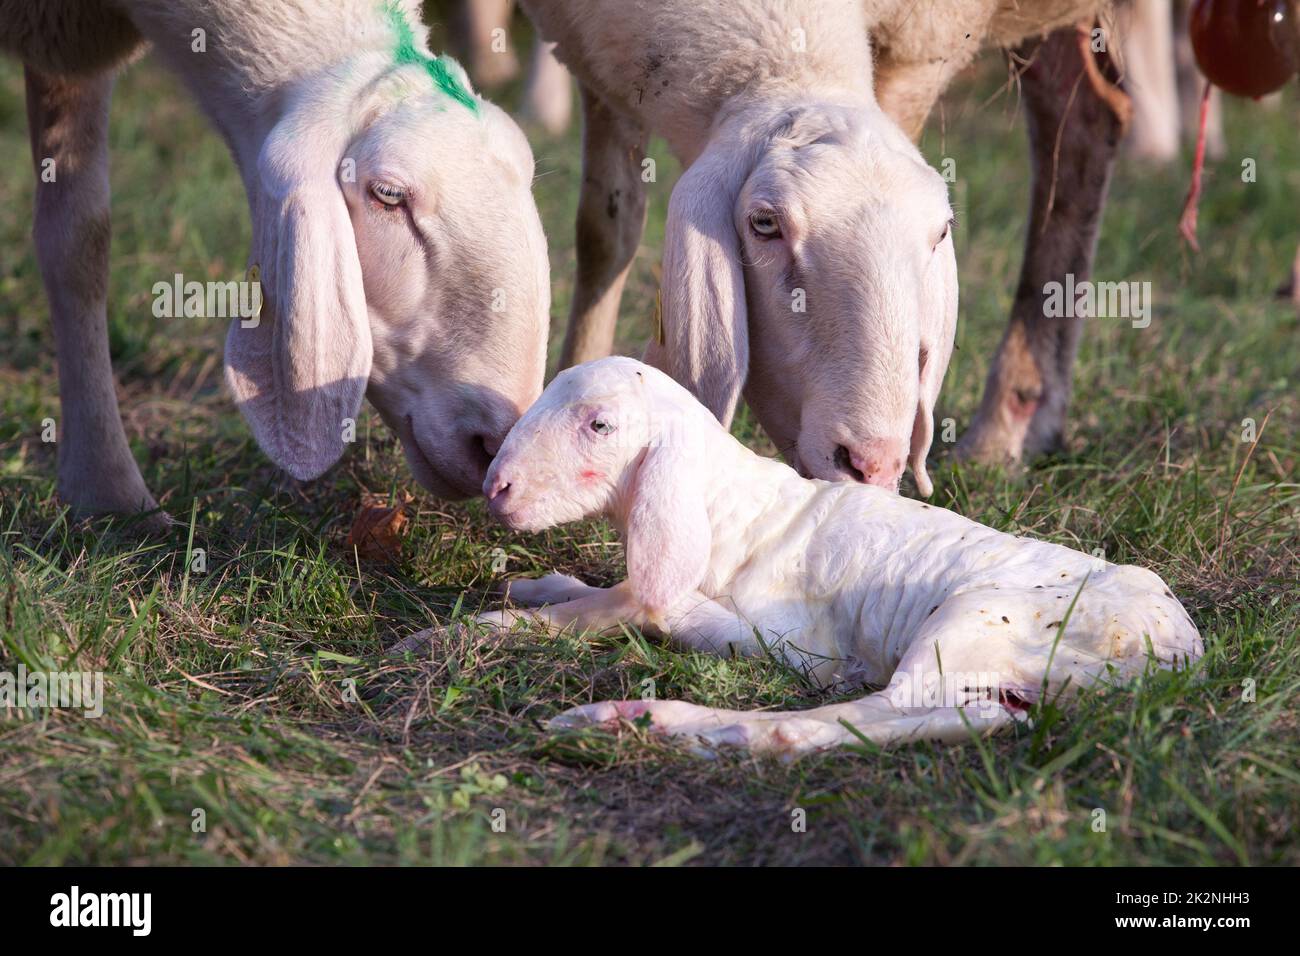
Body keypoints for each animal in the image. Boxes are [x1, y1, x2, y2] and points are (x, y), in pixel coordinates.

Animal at [0, 0, 548, 522]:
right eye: (388, 195)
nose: (494, 444)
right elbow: (78, 245)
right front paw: (108, 490)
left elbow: (79, 237)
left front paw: (103, 492)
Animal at [480, 358, 1206, 754]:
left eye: (599, 425)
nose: (496, 488)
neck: (730, 511)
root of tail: (1176, 654)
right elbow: (618, 591)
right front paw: (538, 589)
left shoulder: (791, 641)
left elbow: (641, 603)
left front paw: (494, 627)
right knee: (969, 714)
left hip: (972, 619)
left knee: (860, 711)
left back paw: (643, 720)